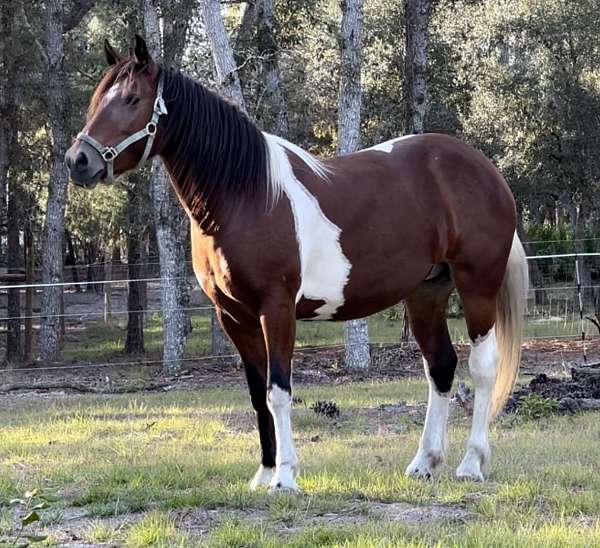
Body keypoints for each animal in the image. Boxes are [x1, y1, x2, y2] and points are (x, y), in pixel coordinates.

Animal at [63, 35, 528, 492]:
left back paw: (471, 464)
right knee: (440, 367)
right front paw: (264, 471)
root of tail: (486, 170)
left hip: (477, 288)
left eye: (132, 99)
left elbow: (279, 391)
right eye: (97, 98)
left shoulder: (277, 308)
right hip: (425, 293)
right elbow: (257, 393)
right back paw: (424, 463)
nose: (77, 161)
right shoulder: (234, 315)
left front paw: (285, 476)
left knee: (482, 368)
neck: (246, 196)